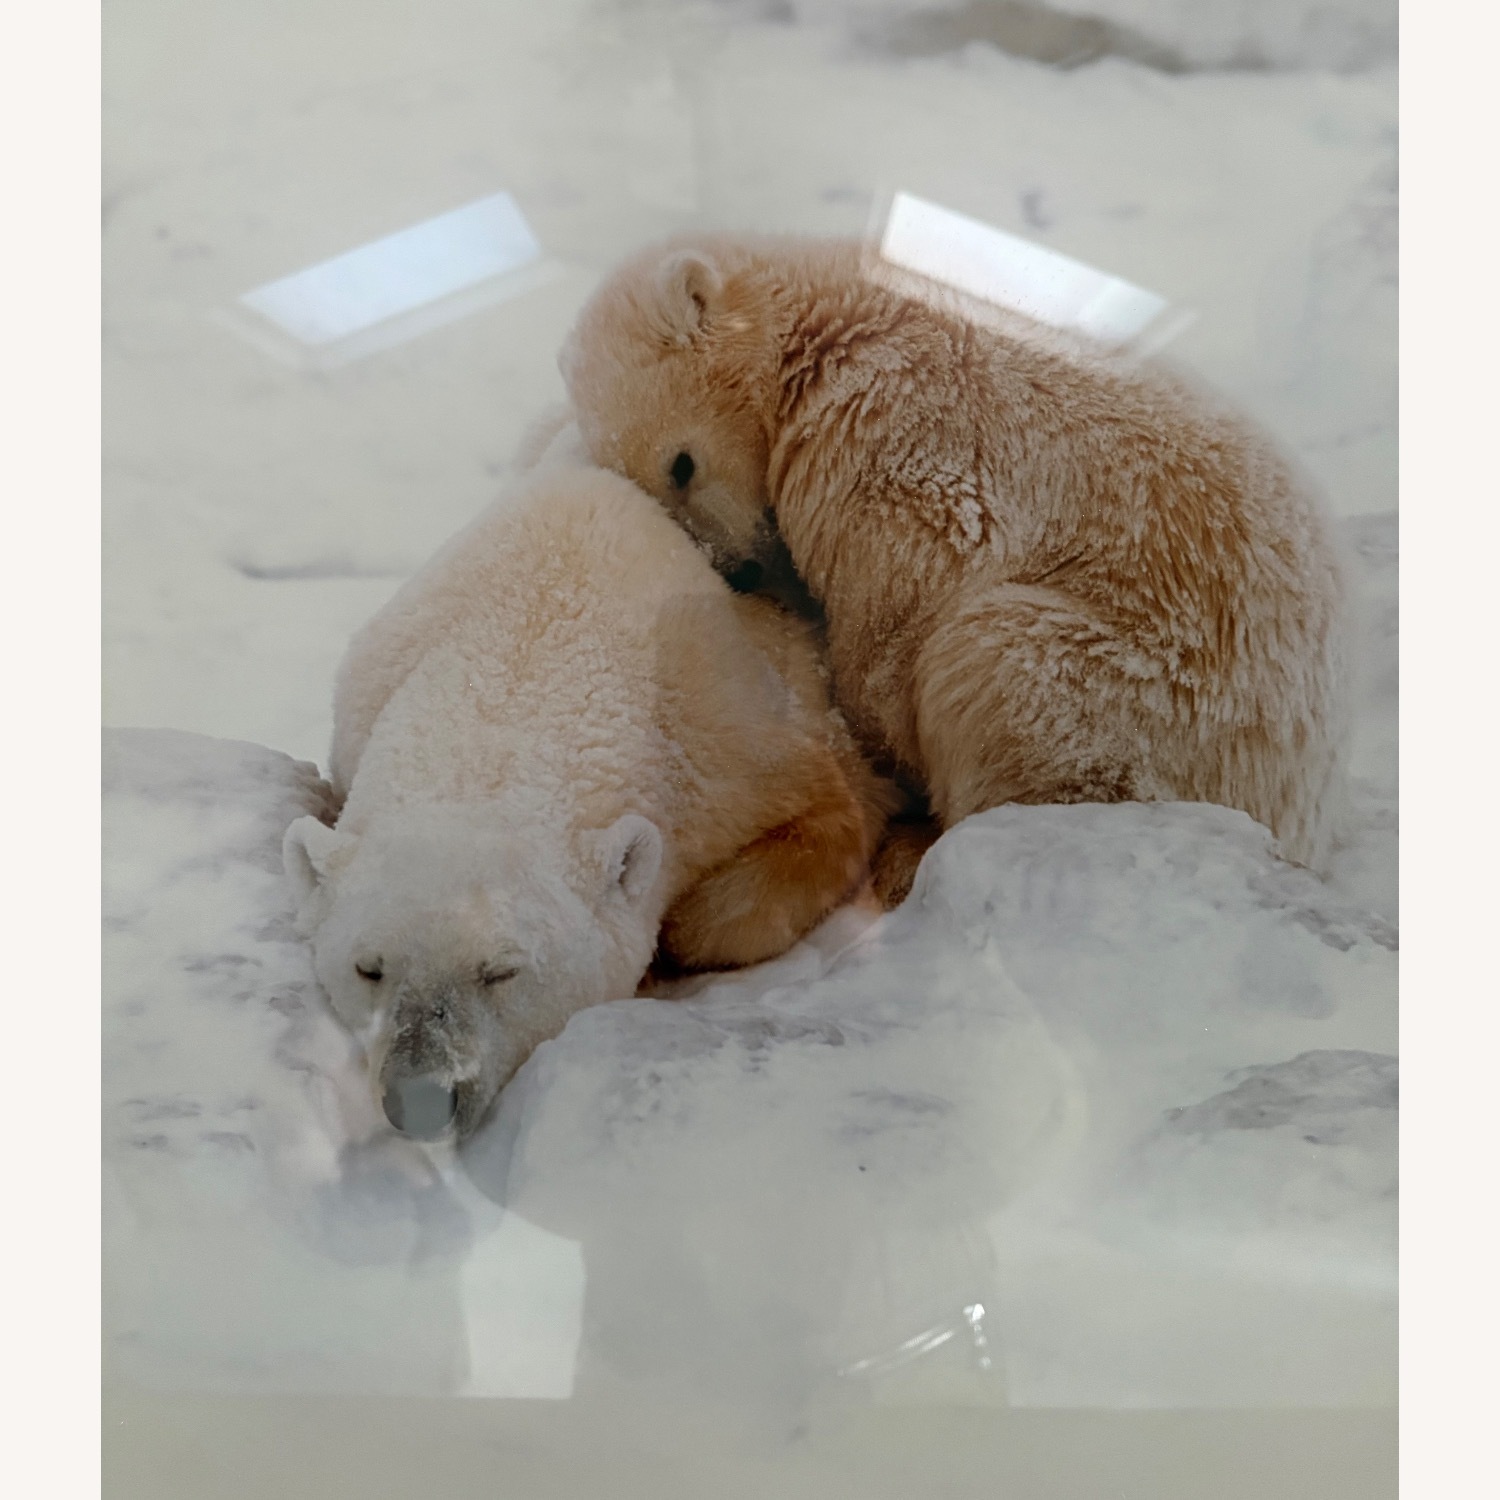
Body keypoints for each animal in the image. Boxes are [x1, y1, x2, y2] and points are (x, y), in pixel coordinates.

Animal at [559, 234, 1349, 893]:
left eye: (681, 465)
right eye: (652, 493)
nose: (737, 570)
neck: (826, 327)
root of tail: (1300, 804)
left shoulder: (887, 440)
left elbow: (904, 607)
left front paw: (881, 747)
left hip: (1155, 695)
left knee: (995, 666)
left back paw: (918, 853)